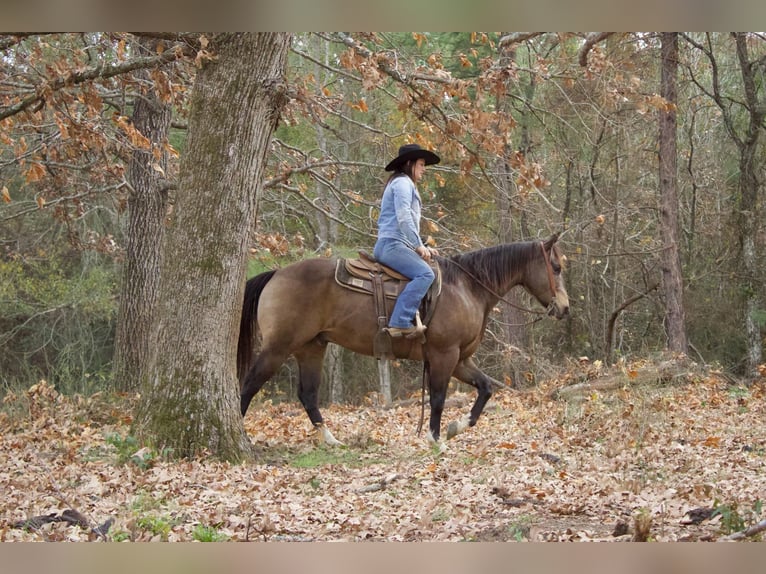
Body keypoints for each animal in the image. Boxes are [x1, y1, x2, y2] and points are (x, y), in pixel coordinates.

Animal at [240, 233, 568, 446]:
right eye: (556, 267)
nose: (565, 308)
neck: (466, 288)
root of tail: (276, 274)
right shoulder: (444, 355)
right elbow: (438, 398)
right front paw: (435, 439)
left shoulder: (461, 359)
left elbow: (486, 388)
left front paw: (456, 427)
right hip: (277, 348)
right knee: (248, 385)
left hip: (312, 347)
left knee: (308, 394)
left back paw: (331, 440)